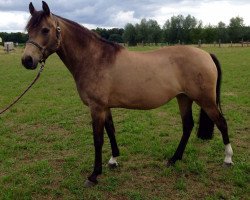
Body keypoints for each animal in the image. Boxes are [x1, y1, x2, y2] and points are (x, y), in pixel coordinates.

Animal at [22, 0, 234, 187]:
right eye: (28, 30)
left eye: (45, 30)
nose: (27, 60)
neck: (95, 58)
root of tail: (206, 54)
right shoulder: (105, 107)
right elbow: (111, 130)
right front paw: (113, 160)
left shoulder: (96, 107)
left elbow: (98, 140)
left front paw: (94, 175)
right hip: (184, 98)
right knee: (188, 126)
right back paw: (174, 159)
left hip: (205, 100)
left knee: (221, 122)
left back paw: (228, 159)